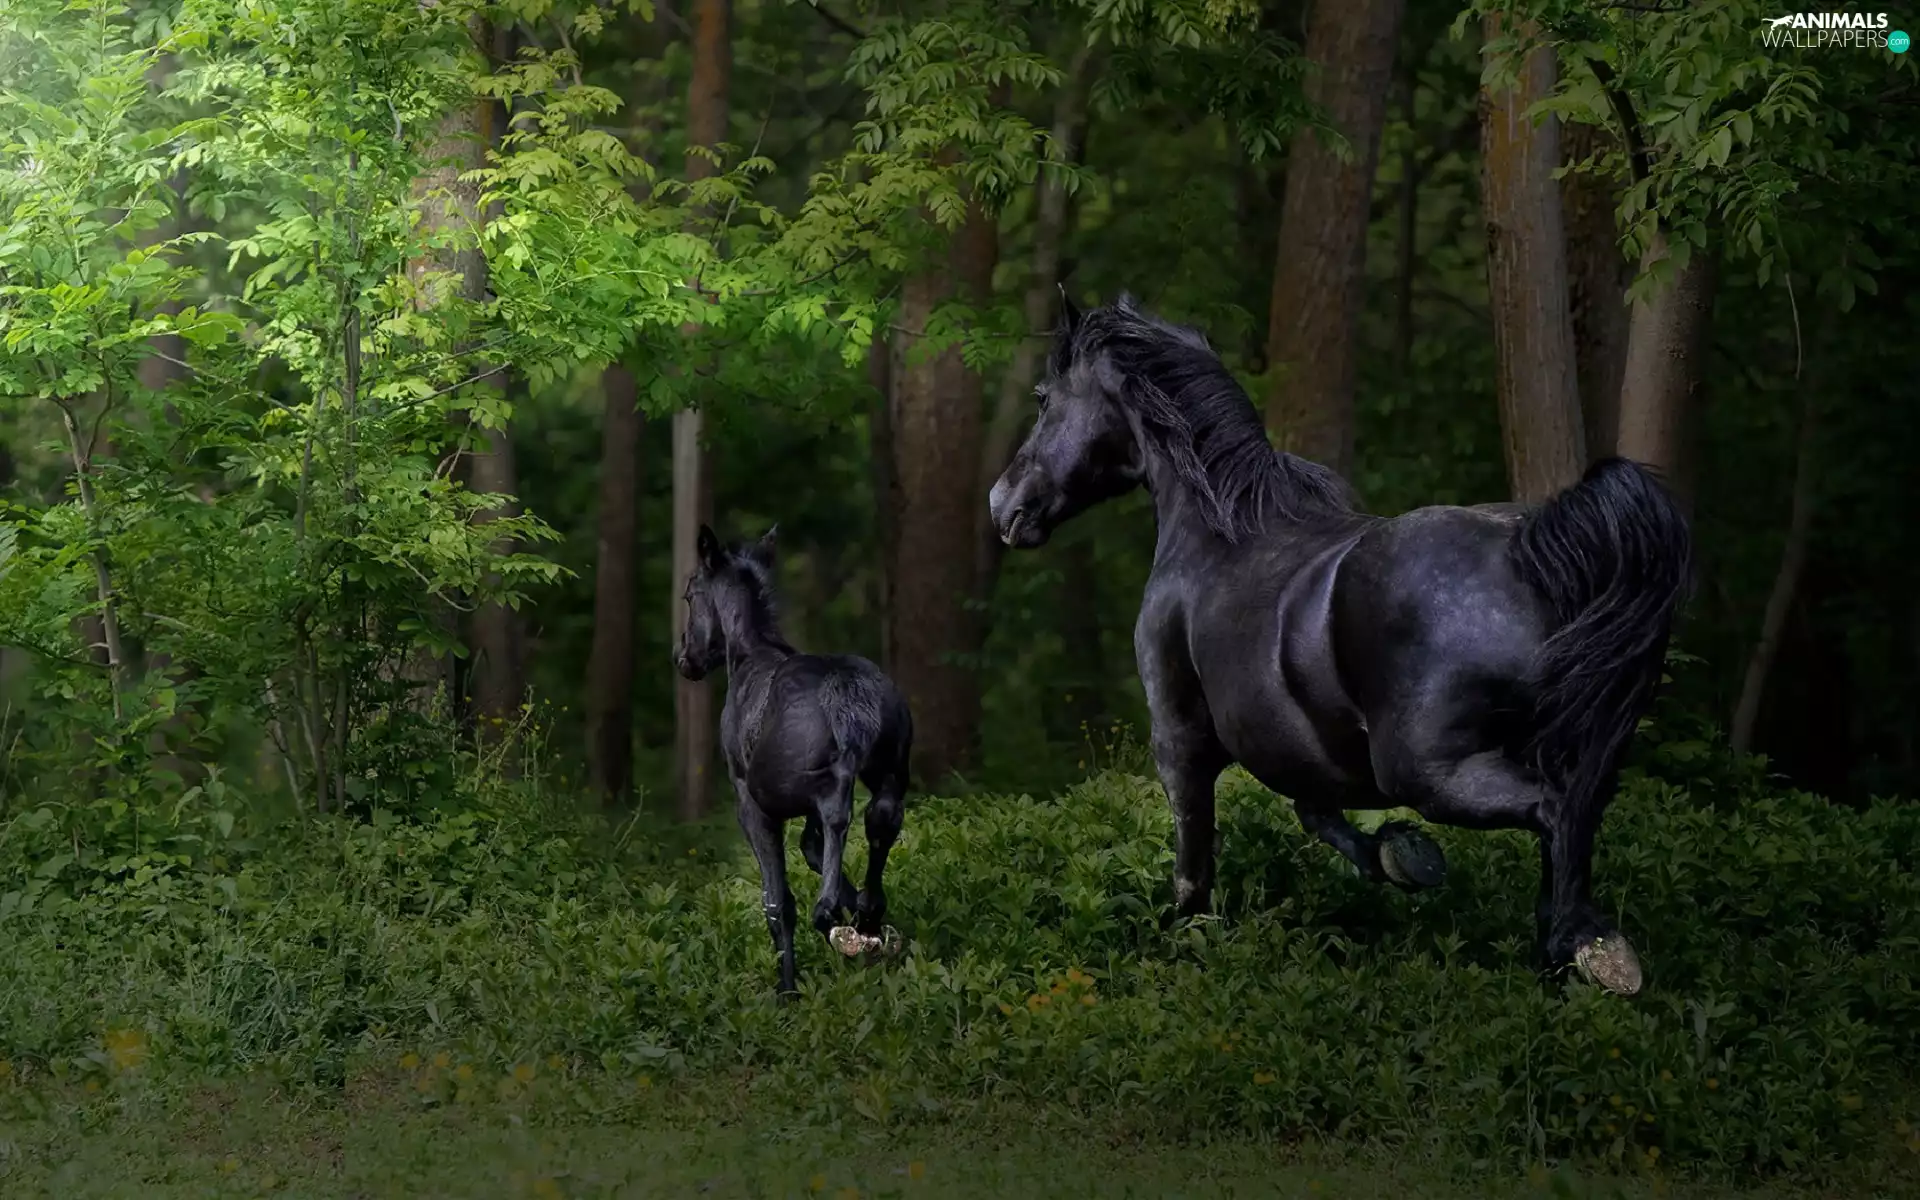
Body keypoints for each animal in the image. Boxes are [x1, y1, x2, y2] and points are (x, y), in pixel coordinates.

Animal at [675, 524, 914, 998]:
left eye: (691, 594)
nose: (685, 658)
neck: (748, 655)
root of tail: (848, 695)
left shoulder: (754, 807)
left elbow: (777, 902)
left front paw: (788, 991)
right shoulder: (802, 810)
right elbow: (813, 852)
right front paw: (860, 919)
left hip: (812, 787)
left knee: (840, 819)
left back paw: (837, 924)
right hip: (890, 776)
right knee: (878, 823)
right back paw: (869, 921)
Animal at [987, 294, 1691, 995]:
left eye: (1044, 399)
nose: (1002, 505)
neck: (1218, 529)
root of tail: (1532, 552)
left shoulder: (1181, 739)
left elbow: (1195, 867)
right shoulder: (1305, 750)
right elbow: (1319, 816)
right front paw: (1404, 857)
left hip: (1428, 771)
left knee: (1556, 812)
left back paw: (1596, 950)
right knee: (1576, 818)